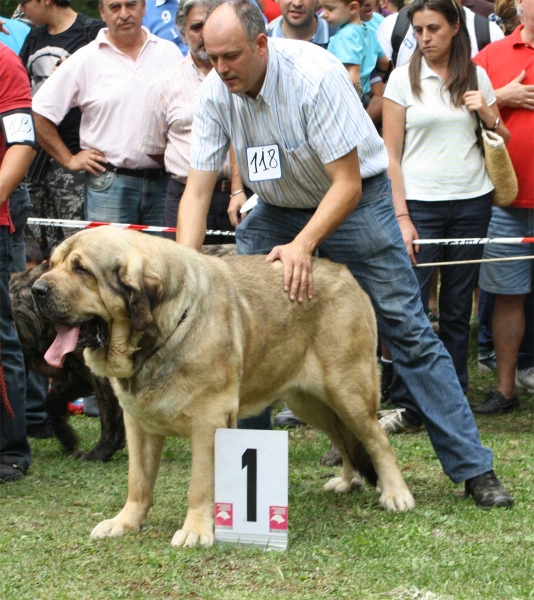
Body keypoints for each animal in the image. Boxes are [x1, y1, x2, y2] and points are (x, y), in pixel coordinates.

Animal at [9, 262, 125, 460]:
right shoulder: (78, 376)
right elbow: (53, 400)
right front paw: (66, 436)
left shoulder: (100, 375)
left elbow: (110, 416)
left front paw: (99, 453)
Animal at [33, 226, 416, 548]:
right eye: (51, 264)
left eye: (81, 270)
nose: (37, 289)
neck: (165, 332)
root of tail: (346, 273)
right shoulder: (138, 424)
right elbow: (138, 482)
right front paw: (125, 522)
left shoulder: (209, 423)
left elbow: (200, 485)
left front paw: (195, 530)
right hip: (310, 402)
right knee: (343, 436)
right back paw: (349, 480)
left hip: (347, 390)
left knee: (376, 440)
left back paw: (396, 494)